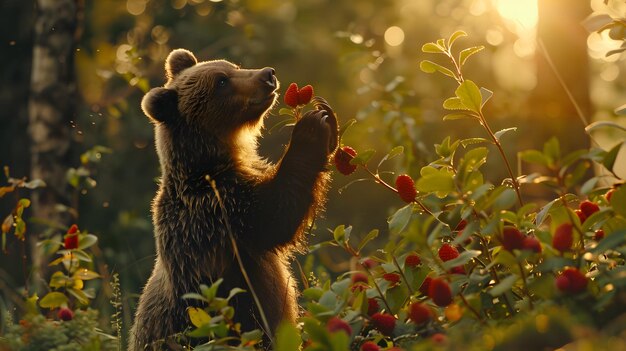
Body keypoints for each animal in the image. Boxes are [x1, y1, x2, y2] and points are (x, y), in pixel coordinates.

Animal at [127, 48, 338, 350]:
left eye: (232, 66)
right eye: (222, 82)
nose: (267, 74)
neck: (211, 162)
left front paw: (327, 113)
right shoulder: (216, 211)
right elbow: (276, 216)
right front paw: (311, 126)